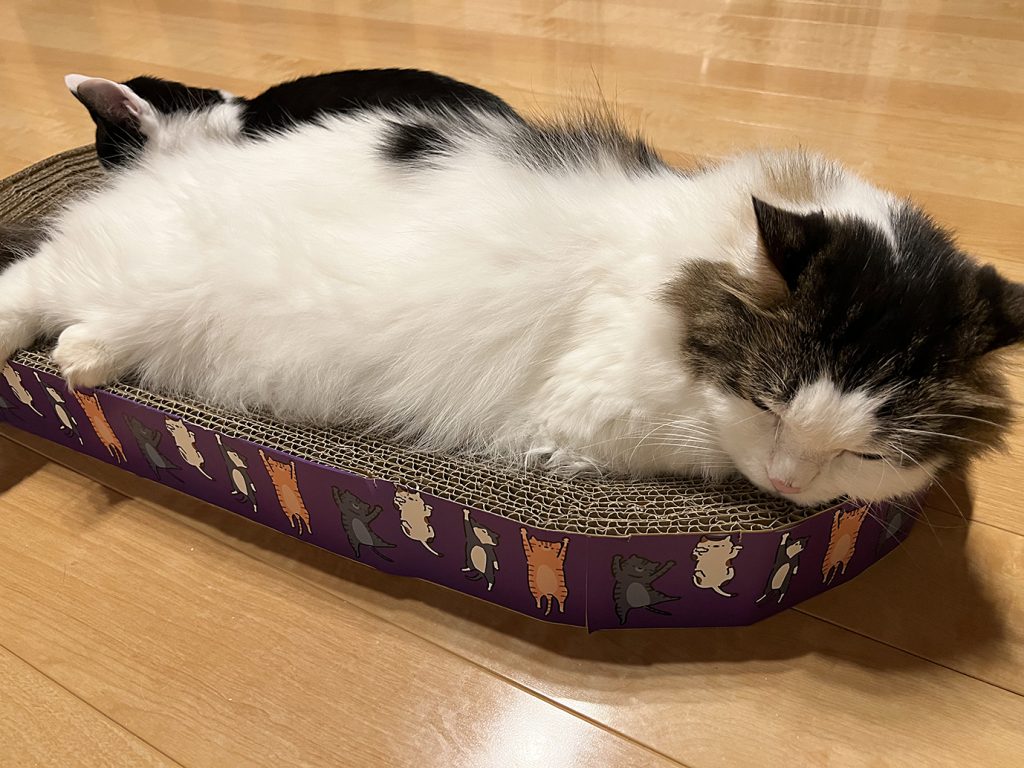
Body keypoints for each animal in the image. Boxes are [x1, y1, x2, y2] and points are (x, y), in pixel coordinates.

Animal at [3, 70, 1024, 506]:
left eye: (864, 451)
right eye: (769, 406)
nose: (787, 482)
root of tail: (161, 167)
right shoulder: (608, 415)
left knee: (84, 333)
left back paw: (85, 363)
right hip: (120, 266)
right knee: (27, 283)